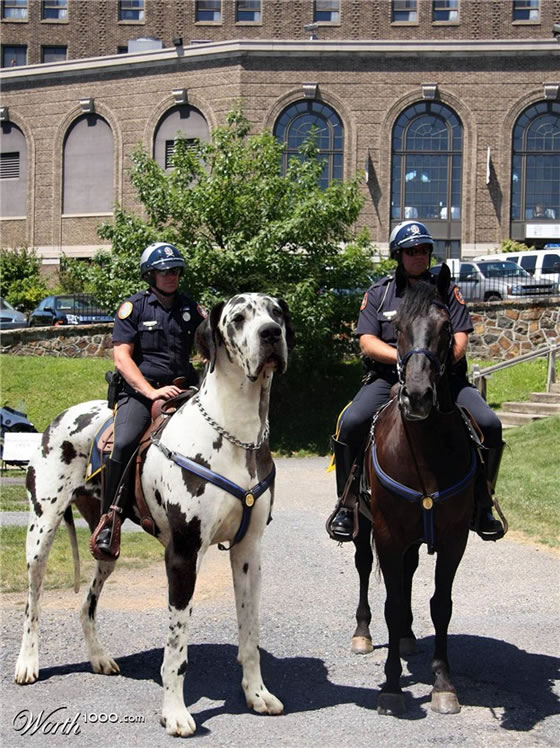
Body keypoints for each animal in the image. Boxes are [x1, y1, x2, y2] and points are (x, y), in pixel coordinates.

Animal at [352, 266, 474, 716]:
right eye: (399, 327)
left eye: (446, 328)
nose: (418, 396)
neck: (422, 451)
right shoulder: (387, 534)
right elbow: (390, 602)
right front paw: (390, 686)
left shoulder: (453, 538)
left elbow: (441, 605)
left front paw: (443, 683)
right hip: (362, 526)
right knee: (365, 567)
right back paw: (363, 632)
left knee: (407, 574)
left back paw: (406, 636)